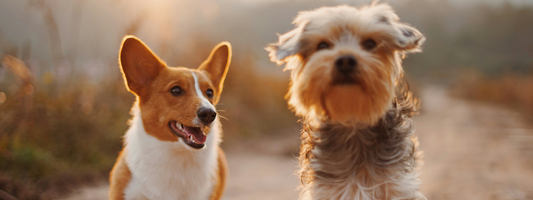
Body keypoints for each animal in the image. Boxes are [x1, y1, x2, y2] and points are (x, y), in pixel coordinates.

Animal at [268, 3, 426, 200]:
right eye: (322, 45)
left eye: (370, 44)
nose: (345, 60)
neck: (353, 120)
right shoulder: (329, 190)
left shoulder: (397, 186)